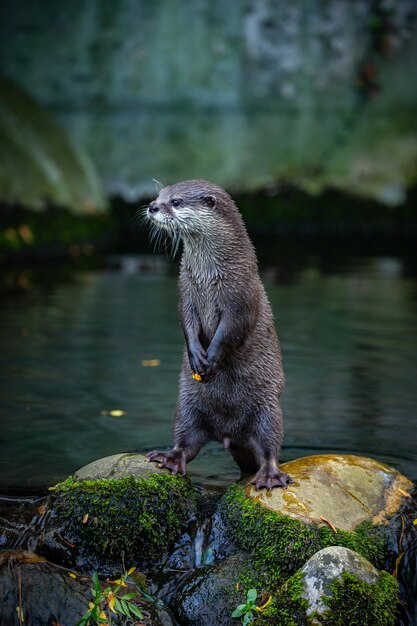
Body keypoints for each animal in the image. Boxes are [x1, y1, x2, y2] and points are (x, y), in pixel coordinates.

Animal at [145, 178, 290, 490]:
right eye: (159, 195)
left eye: (176, 201)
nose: (151, 207)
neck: (209, 277)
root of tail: (229, 434)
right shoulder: (186, 288)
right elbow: (187, 322)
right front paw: (196, 355)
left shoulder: (241, 293)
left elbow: (231, 330)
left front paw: (210, 357)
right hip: (187, 406)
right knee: (186, 442)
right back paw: (169, 458)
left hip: (268, 409)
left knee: (270, 445)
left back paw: (270, 475)